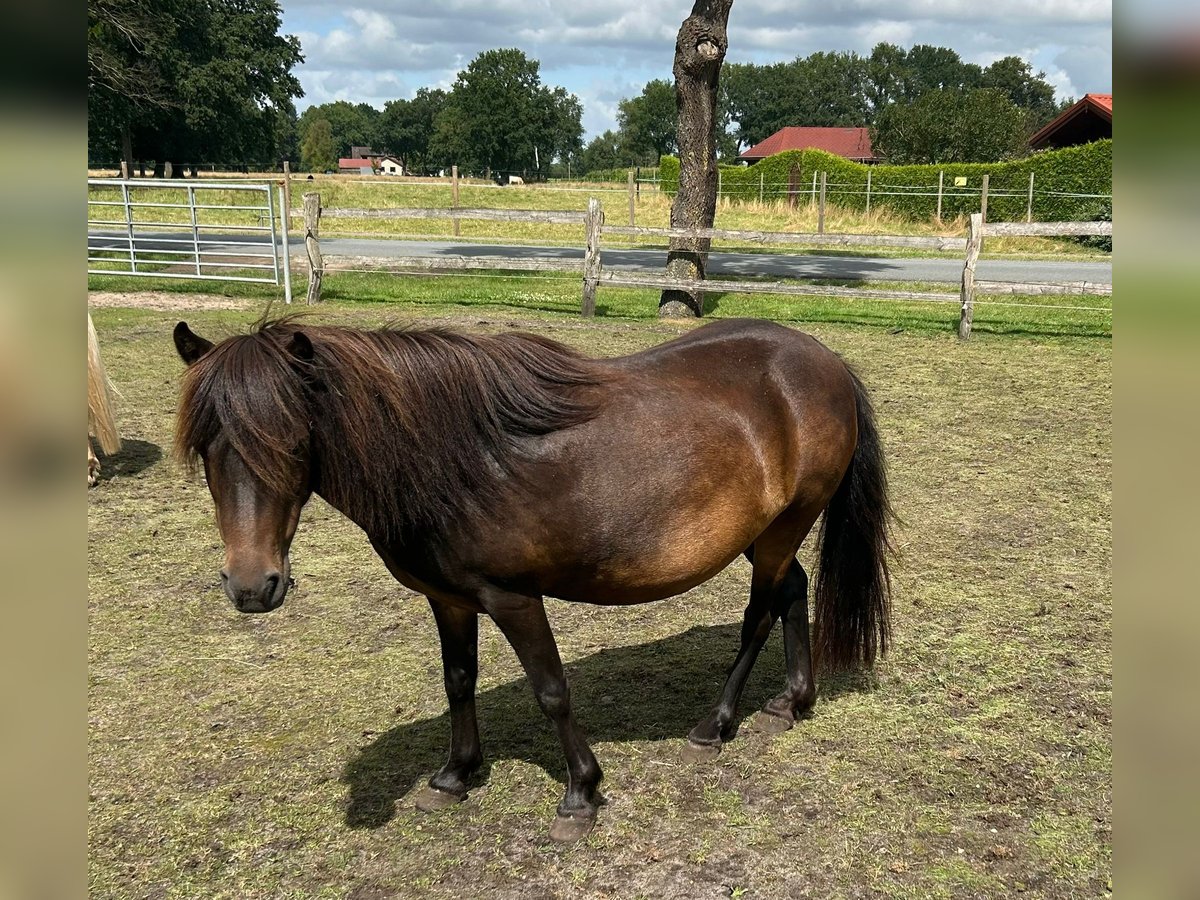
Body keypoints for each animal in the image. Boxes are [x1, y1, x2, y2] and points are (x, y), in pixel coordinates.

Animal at [175, 319, 892, 844]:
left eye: (291, 441)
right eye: (206, 446)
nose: (251, 586)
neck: (453, 459)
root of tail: (824, 360)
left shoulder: (513, 598)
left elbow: (552, 691)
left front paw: (581, 794)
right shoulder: (449, 599)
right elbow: (458, 682)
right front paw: (455, 775)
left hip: (782, 527)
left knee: (761, 614)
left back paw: (714, 726)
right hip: (761, 534)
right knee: (794, 591)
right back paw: (790, 702)